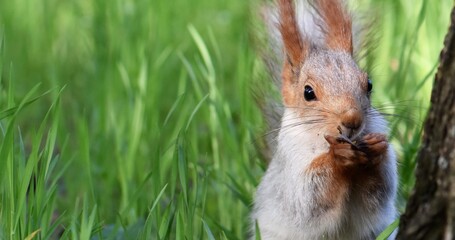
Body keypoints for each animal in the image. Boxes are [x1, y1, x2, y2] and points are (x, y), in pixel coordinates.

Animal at [253, 0, 400, 239]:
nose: (352, 120)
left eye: (369, 84)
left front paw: (376, 149)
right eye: (308, 92)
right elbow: (308, 201)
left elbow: (379, 193)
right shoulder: (290, 166)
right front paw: (337, 156)